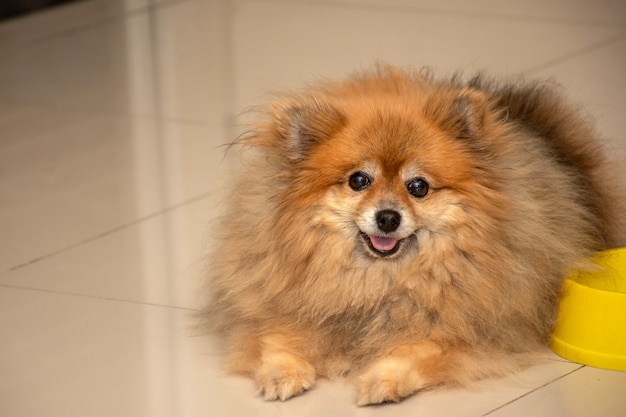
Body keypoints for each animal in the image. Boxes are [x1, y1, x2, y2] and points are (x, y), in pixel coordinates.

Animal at [205, 66, 620, 404]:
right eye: (359, 180)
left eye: (418, 186)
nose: (388, 217)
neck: (377, 282)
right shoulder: (279, 304)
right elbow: (277, 337)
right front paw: (282, 373)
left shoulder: (468, 330)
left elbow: (415, 349)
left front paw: (382, 379)